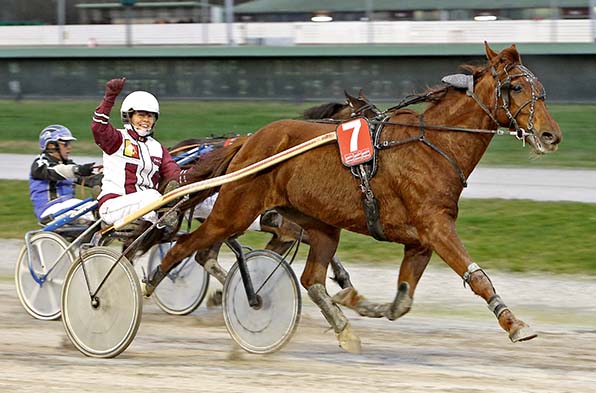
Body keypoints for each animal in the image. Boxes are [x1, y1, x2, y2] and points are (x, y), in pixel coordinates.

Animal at [147, 43, 560, 352]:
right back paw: (150, 285)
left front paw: (360, 304)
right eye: (517, 88)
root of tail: (250, 141)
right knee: (184, 247)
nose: (551, 135)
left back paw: (343, 326)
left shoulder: (421, 240)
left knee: (311, 277)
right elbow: (478, 278)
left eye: (541, 90)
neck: (433, 145)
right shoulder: (437, 227)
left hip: (318, 223)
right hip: (232, 212)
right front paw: (515, 324)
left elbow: (402, 301)